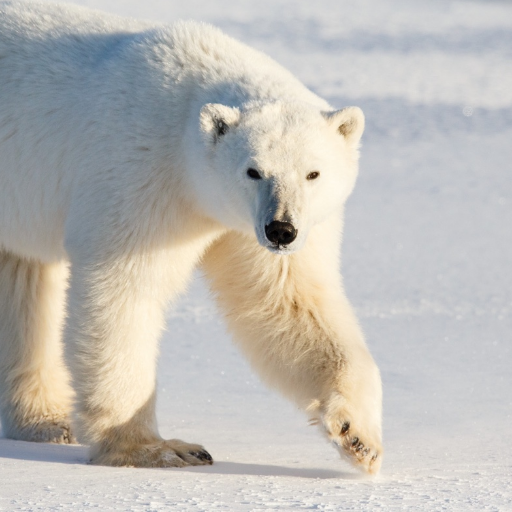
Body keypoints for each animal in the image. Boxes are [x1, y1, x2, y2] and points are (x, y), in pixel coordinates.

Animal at [0, 0, 382, 474]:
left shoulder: (247, 227)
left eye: (313, 173)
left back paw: (45, 420)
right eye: (253, 170)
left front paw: (358, 435)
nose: (281, 230)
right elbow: (124, 293)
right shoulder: (140, 175)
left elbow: (287, 303)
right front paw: (159, 448)